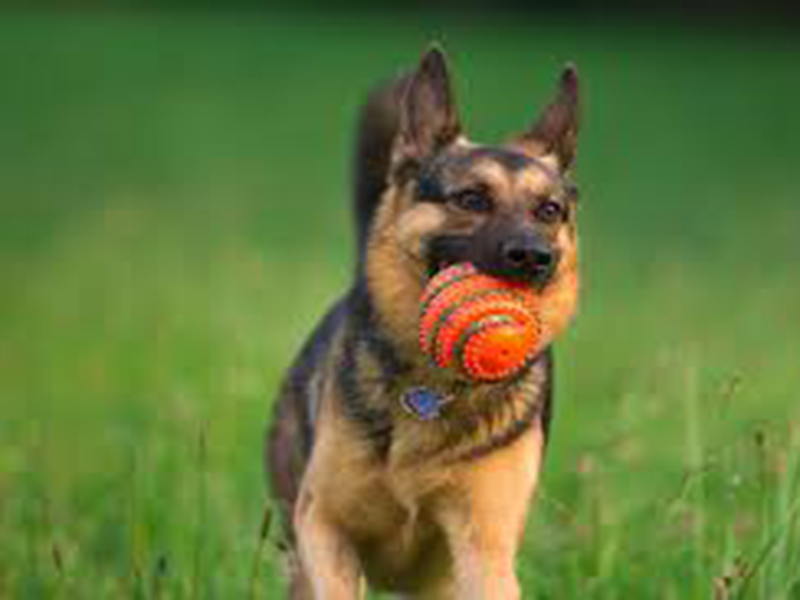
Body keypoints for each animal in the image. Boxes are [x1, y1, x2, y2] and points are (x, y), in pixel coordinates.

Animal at [268, 44, 580, 596]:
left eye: (549, 210)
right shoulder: (324, 525)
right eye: (471, 199)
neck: (432, 388)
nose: (534, 258)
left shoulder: (485, 546)